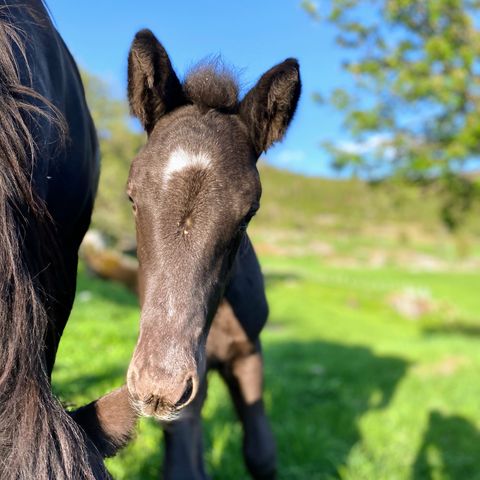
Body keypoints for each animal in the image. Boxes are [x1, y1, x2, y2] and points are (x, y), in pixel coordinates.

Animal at [126, 31, 300, 480]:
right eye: (132, 197)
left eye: (249, 213)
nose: (159, 385)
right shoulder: (190, 381)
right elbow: (183, 464)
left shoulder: (248, 351)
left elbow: (262, 454)